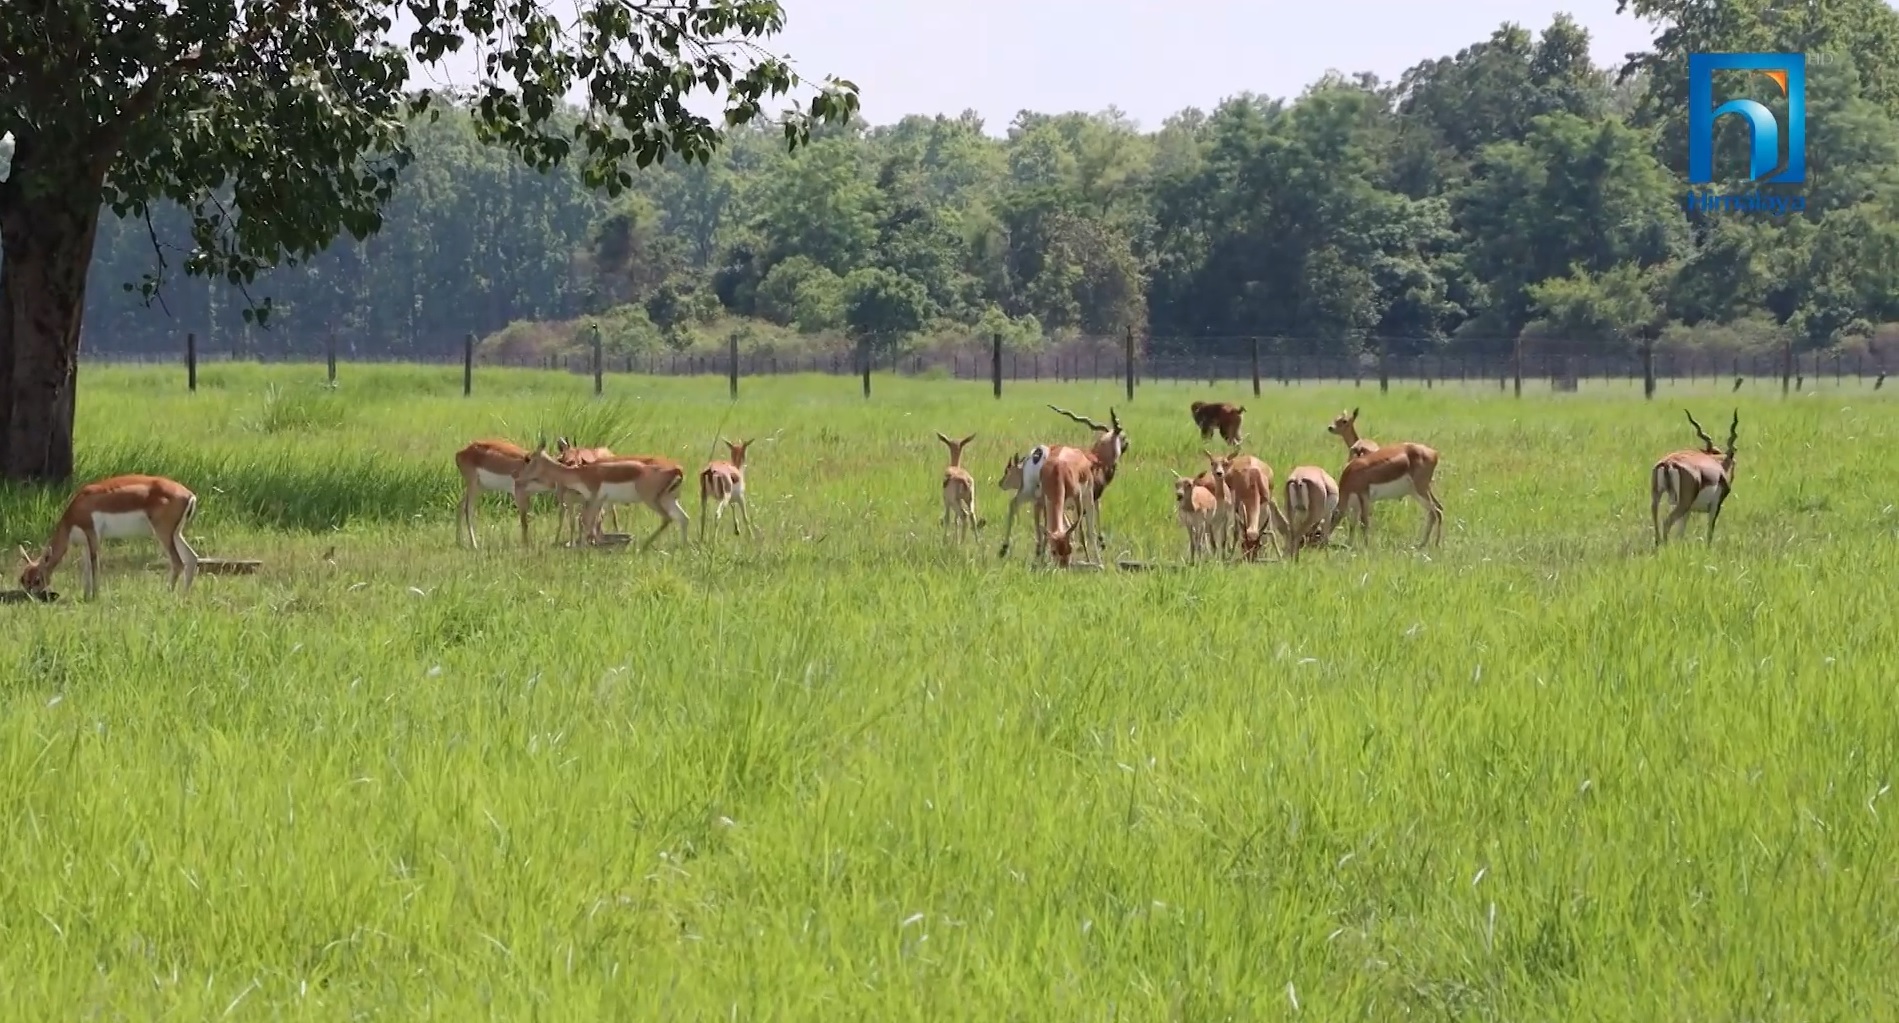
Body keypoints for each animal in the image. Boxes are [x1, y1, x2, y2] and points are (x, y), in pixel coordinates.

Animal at [17, 476, 200, 603]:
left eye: (38, 579)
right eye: (23, 579)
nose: (31, 598)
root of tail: (189, 495)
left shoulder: (92, 534)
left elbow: (94, 565)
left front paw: (95, 597)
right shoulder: (84, 542)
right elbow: (86, 567)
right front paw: (85, 596)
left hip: (163, 533)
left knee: (177, 562)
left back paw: (167, 594)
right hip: (176, 534)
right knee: (191, 558)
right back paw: (184, 596)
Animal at [516, 442, 695, 554]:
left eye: (529, 459)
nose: (519, 479)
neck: (581, 473)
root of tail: (676, 469)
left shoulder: (593, 499)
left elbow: (586, 522)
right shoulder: (597, 501)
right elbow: (589, 524)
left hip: (652, 501)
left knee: (668, 519)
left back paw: (642, 546)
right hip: (669, 500)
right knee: (684, 518)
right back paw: (684, 547)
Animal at [1648, 409, 1739, 546]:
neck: (1719, 467)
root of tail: (1669, 463)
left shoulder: (1689, 510)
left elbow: (1680, 532)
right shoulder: (1715, 506)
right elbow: (1710, 531)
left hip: (1657, 496)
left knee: (1655, 517)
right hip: (1683, 504)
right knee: (1667, 522)